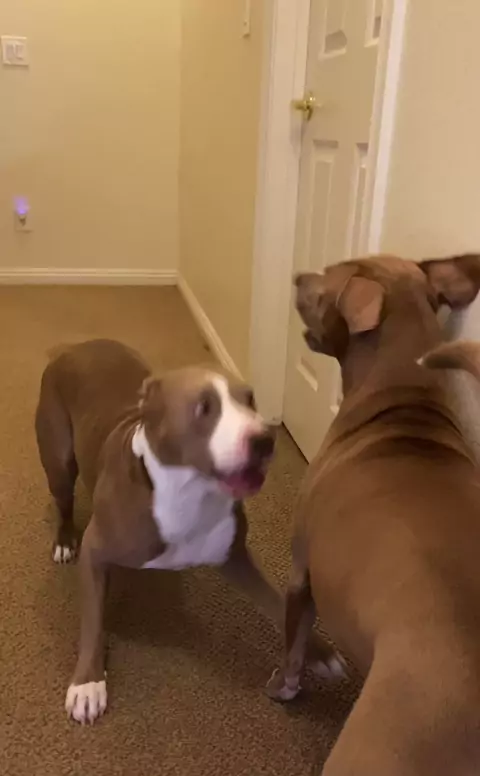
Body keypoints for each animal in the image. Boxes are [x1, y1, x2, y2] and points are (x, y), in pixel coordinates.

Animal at [35, 339, 339, 724]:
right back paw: (63, 540)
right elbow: (92, 620)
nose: (264, 440)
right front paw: (88, 683)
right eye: (204, 408)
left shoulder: (234, 556)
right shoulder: (96, 550)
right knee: (63, 498)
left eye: (250, 399)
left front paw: (317, 651)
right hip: (58, 457)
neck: (190, 491)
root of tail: (76, 345)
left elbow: (277, 601)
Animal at [267, 255, 480, 775]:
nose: (298, 275)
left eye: (326, 279)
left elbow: (295, 643)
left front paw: (285, 687)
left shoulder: (301, 573)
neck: (405, 392)